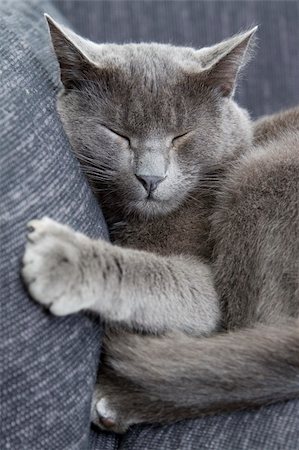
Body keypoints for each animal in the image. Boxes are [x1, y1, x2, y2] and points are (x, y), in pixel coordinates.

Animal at [21, 15, 299, 434]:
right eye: (117, 132)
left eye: (181, 136)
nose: (150, 178)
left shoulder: (206, 291)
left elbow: (153, 272)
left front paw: (64, 257)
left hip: (260, 174)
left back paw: (116, 400)